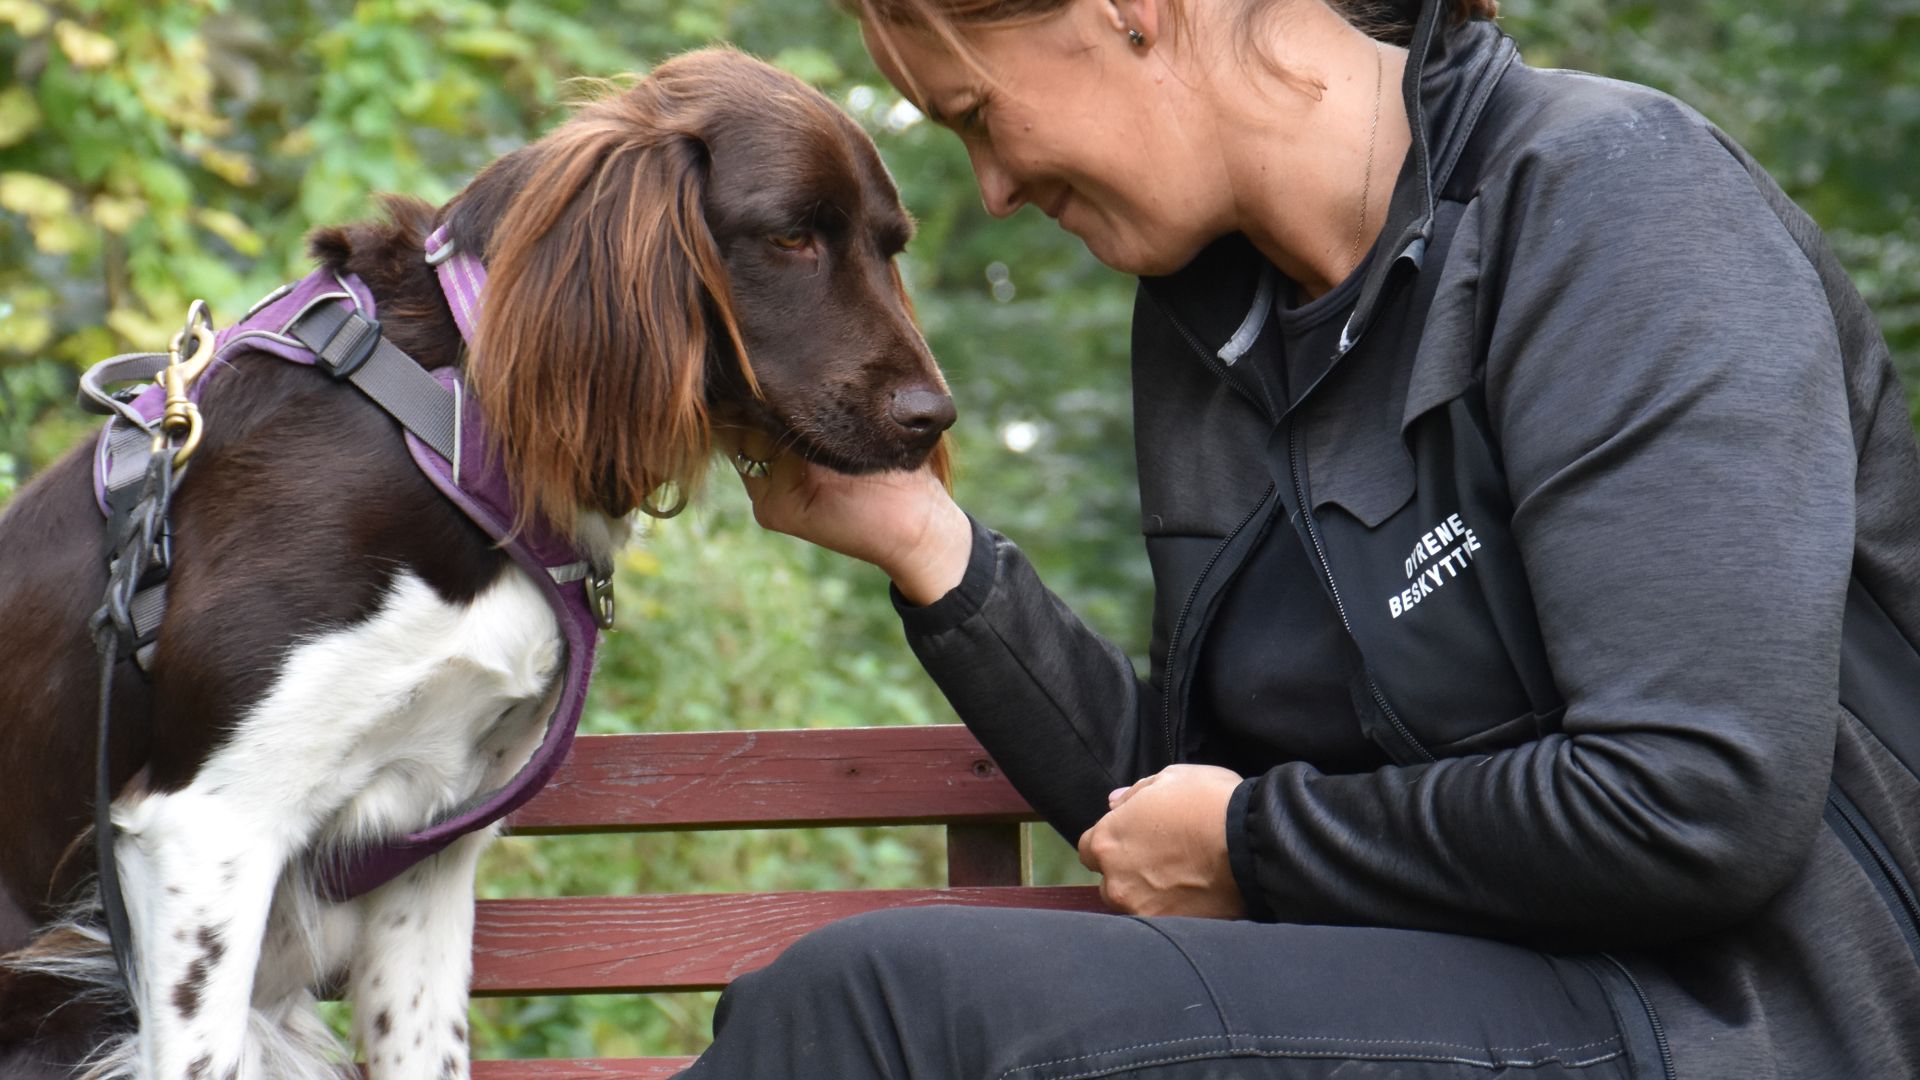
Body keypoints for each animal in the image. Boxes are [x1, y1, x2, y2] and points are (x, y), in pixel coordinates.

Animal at [0, 46, 952, 1076]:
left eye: (892, 247)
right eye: (791, 238)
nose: (932, 418)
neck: (453, 420)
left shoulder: (429, 843)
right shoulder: (208, 826)